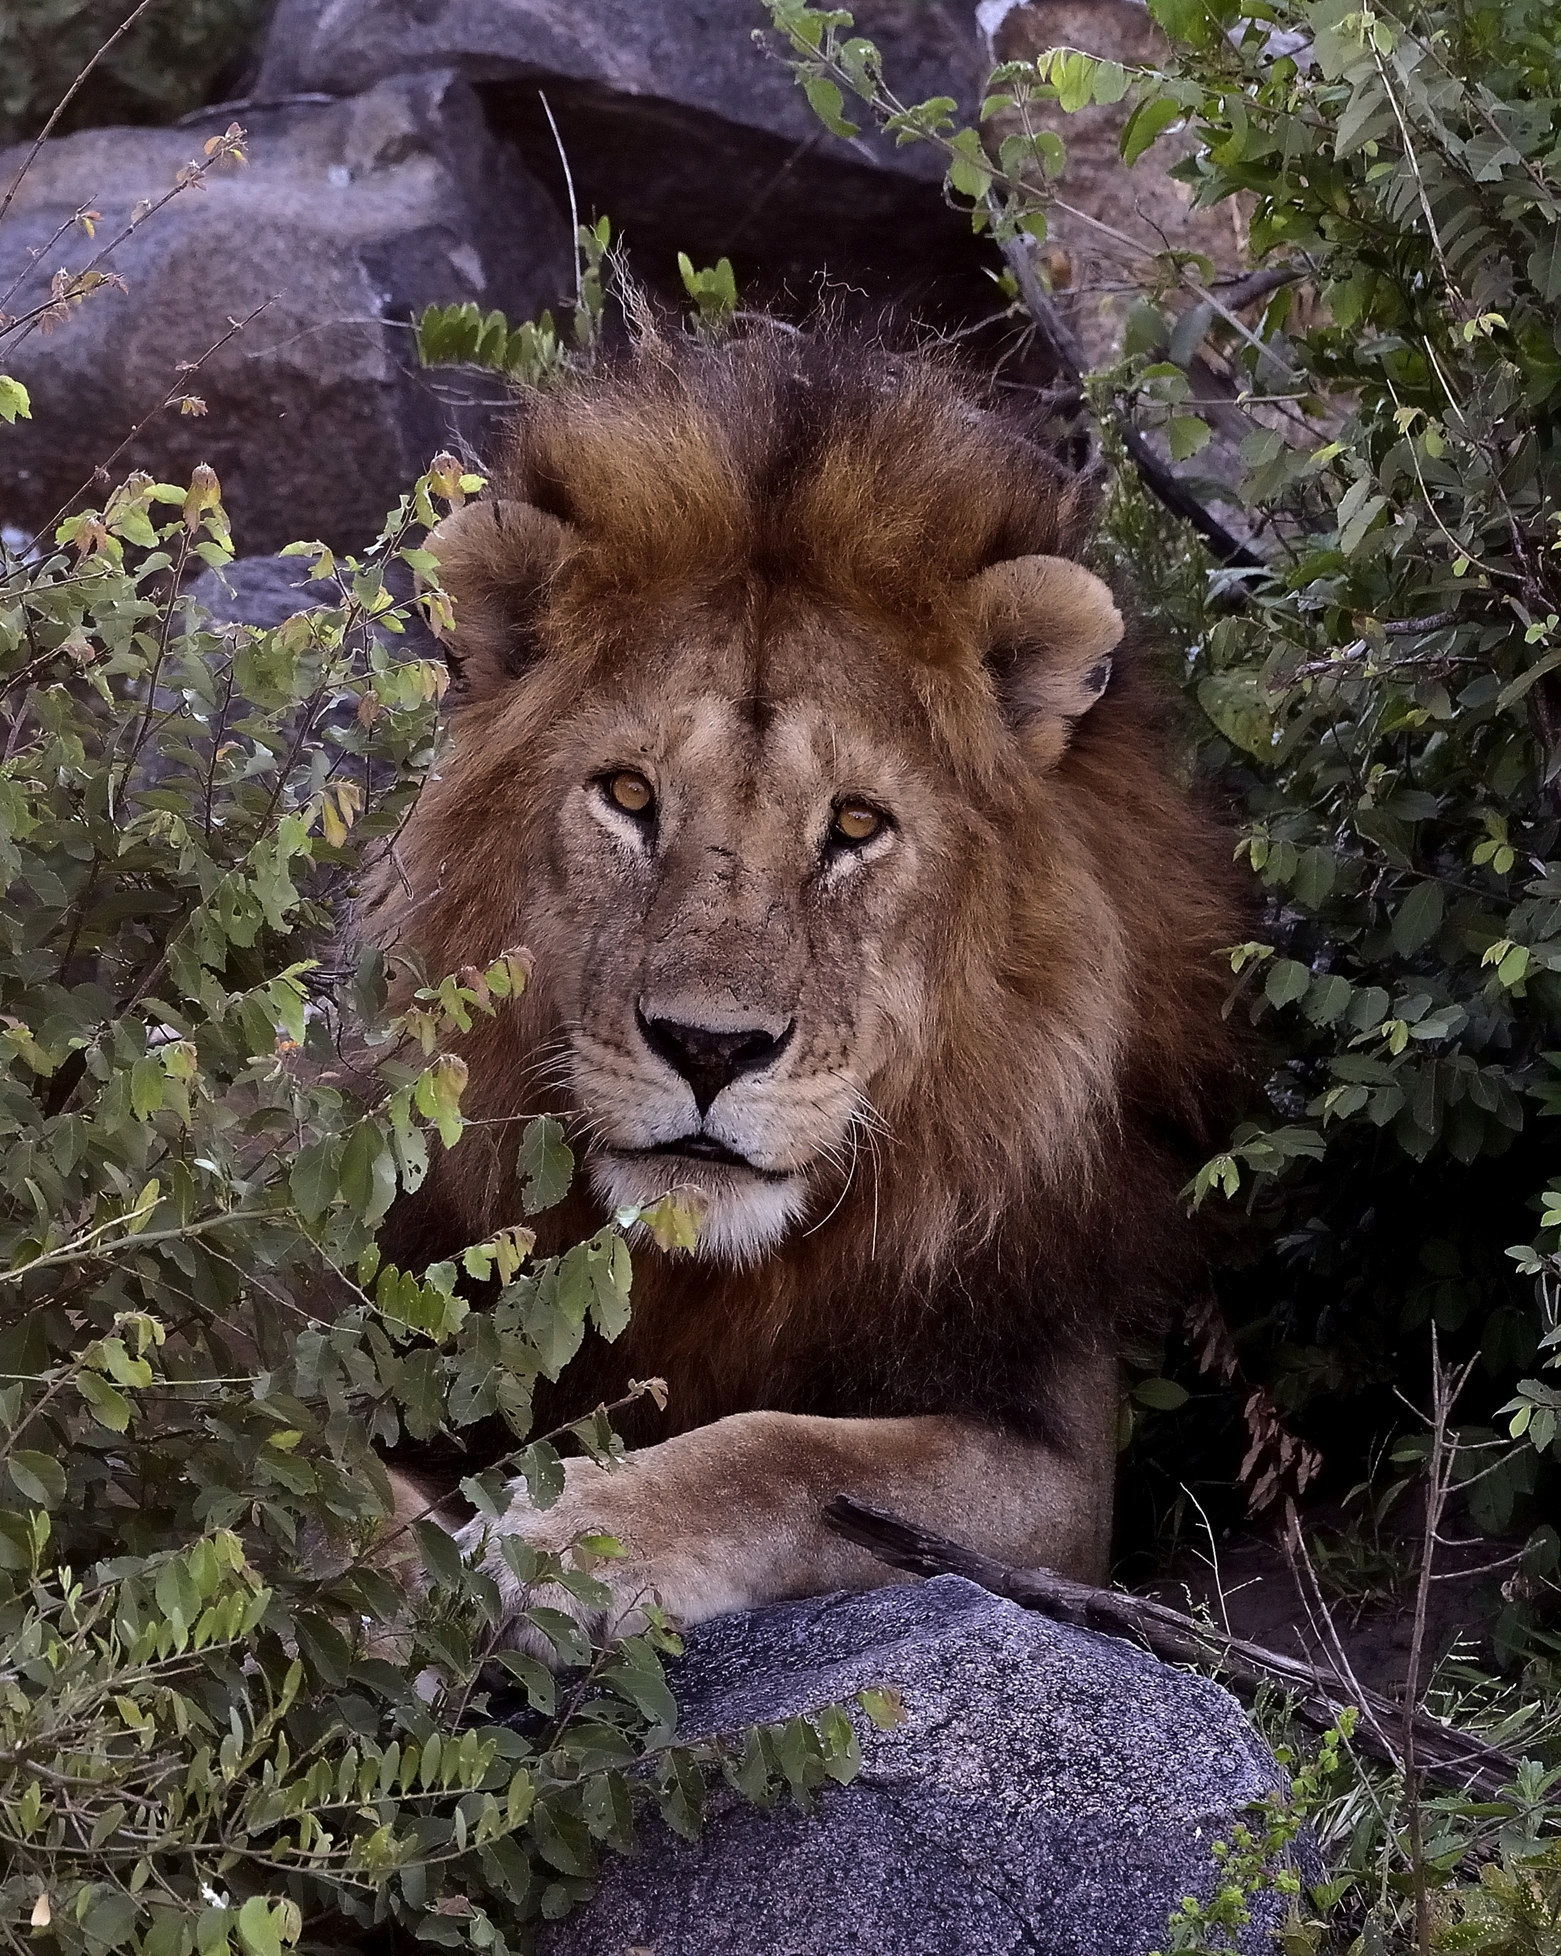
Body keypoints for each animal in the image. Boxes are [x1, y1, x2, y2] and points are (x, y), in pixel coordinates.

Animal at [364, 327, 1241, 1647]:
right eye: (628, 796)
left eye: (857, 826)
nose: (708, 1049)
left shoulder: (1058, 1456)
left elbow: (789, 1451)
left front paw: (562, 1537)